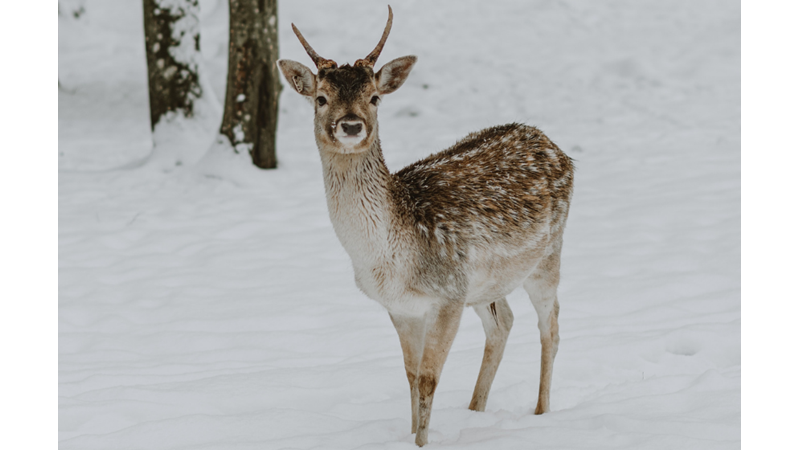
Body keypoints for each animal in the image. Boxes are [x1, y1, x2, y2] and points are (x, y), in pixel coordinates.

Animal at [278, 6, 572, 446]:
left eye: (374, 97)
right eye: (321, 98)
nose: (351, 125)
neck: (390, 258)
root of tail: (554, 145)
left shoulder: (448, 294)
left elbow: (430, 379)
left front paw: (421, 441)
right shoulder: (400, 306)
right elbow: (412, 376)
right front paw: (410, 435)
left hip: (547, 254)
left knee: (550, 323)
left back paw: (541, 412)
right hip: (486, 285)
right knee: (503, 322)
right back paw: (475, 409)